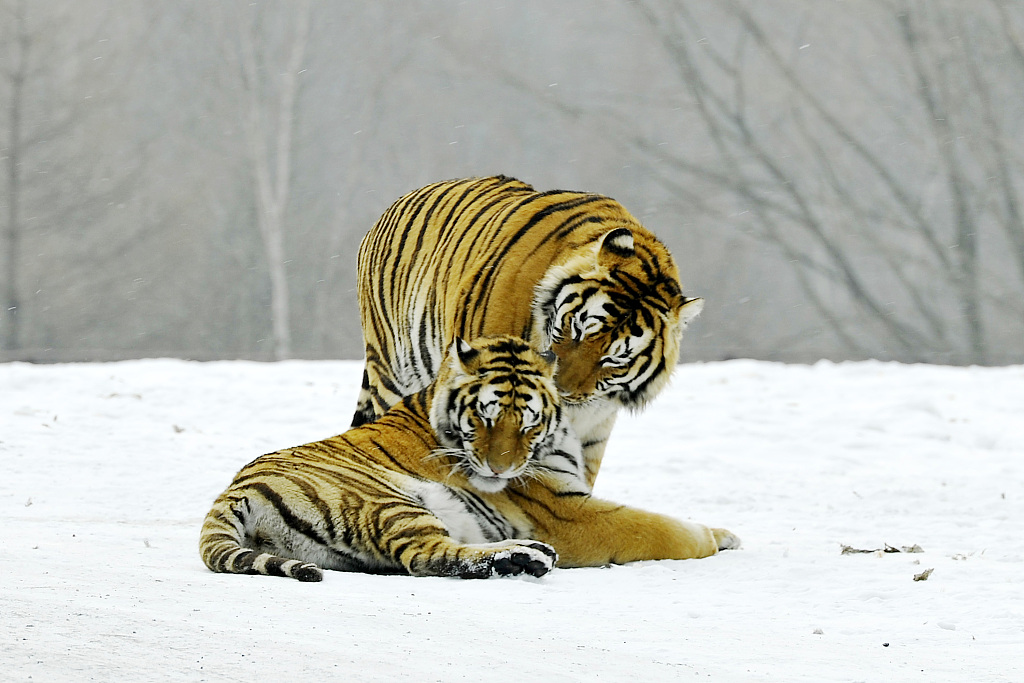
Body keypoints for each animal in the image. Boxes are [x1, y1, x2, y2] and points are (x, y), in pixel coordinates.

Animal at [197, 335, 737, 581]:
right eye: (483, 417)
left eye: (527, 422)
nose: (499, 470)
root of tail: (231, 493)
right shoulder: (567, 513)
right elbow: (658, 527)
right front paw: (711, 539)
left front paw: (724, 533)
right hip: (388, 501)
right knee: (427, 557)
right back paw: (525, 556)